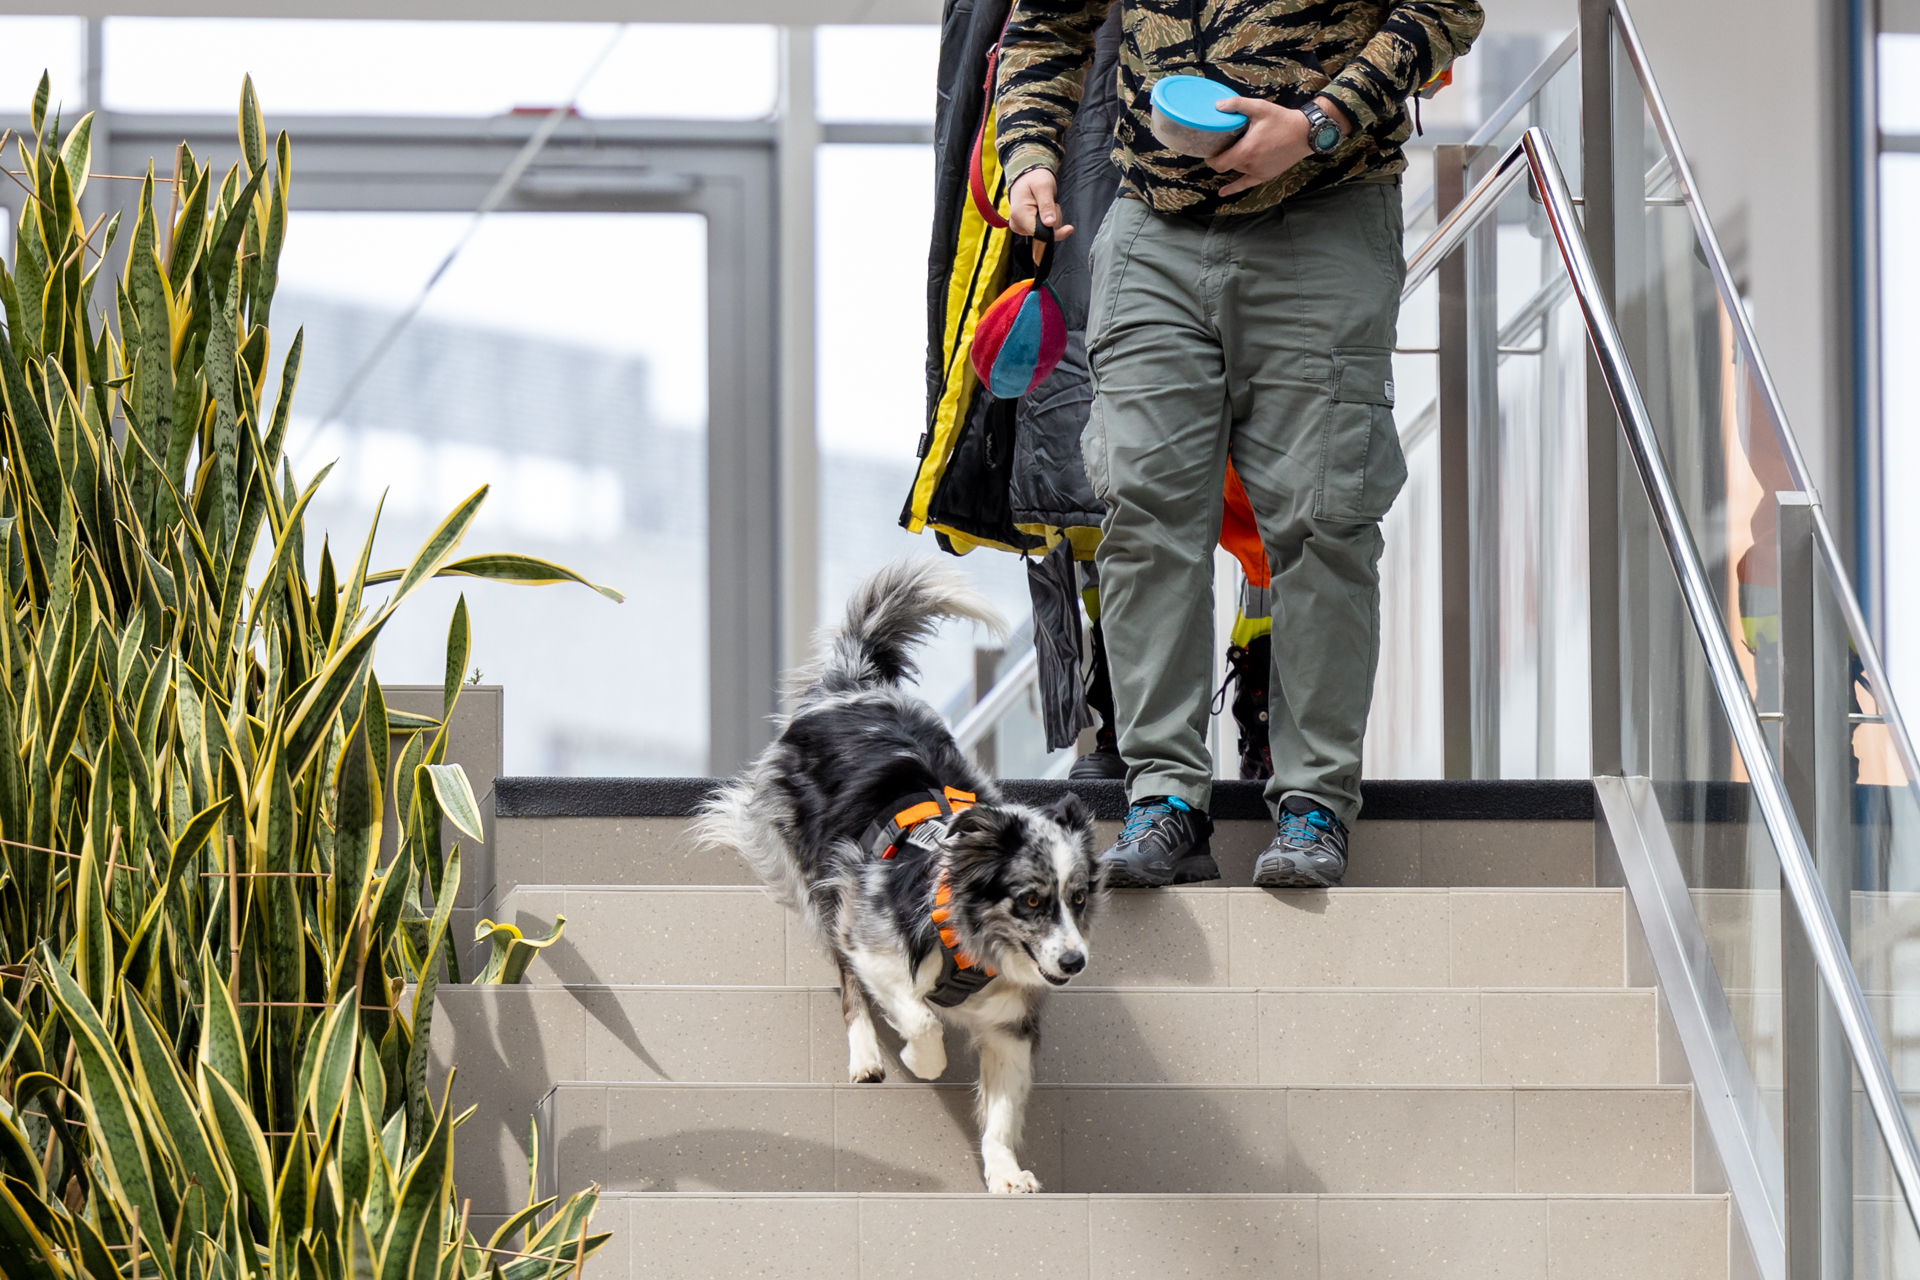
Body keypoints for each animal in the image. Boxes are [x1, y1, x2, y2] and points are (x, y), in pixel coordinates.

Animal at [696, 558, 1101, 1194]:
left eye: (1078, 898)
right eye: (1031, 901)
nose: (1074, 962)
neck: (970, 944)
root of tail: (852, 686)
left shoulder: (1011, 1025)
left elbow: (1002, 1112)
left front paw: (1005, 1172)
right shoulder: (870, 936)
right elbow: (920, 1016)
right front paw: (918, 1059)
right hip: (817, 879)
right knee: (846, 982)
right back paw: (866, 1055)